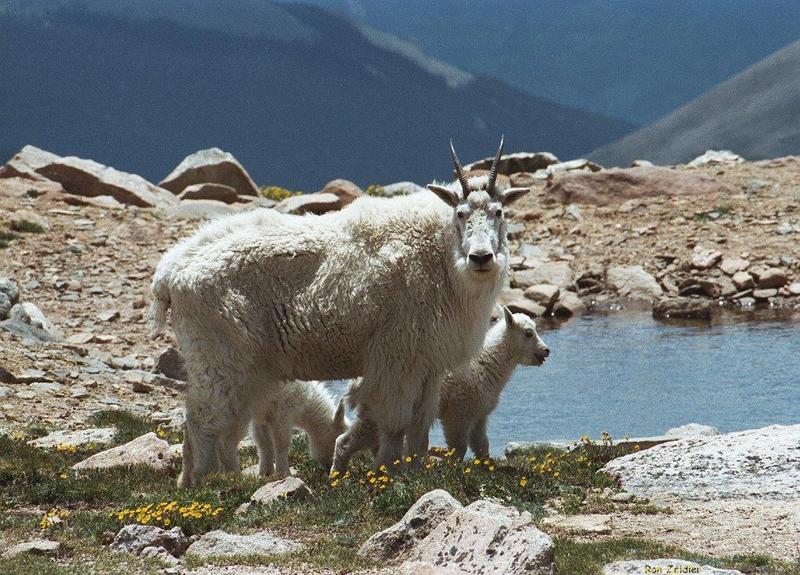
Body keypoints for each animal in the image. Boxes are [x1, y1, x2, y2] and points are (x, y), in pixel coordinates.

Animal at [152, 140, 532, 486]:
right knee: (204, 420)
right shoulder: (398, 357)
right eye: (461, 214)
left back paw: (195, 480)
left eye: (499, 212)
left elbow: (420, 425)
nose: (481, 258)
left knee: (203, 420)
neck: (441, 257)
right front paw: (388, 472)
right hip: (220, 355)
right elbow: (395, 422)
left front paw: (415, 471)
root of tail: (170, 272)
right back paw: (206, 482)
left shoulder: (429, 364)